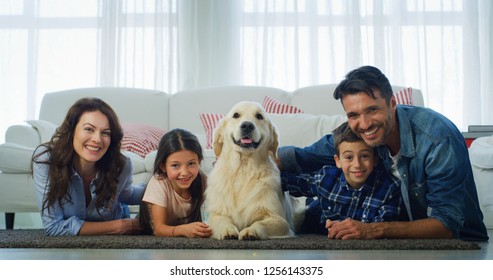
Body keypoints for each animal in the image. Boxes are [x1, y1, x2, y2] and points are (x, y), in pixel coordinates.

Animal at [205, 101, 292, 240]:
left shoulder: (279, 220)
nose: (247, 125)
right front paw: (227, 230)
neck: (243, 167)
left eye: (259, 116)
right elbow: (222, 220)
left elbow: (260, 223)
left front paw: (251, 231)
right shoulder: (216, 214)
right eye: (236, 115)